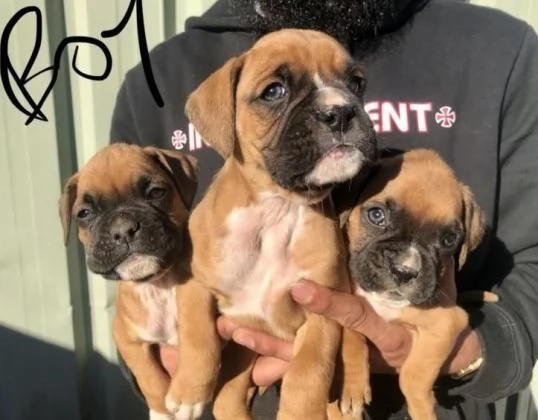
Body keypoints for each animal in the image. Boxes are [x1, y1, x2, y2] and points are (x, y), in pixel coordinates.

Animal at [58, 144, 218, 420]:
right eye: (85, 214)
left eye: (156, 192)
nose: (123, 229)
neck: (157, 285)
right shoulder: (125, 336)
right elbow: (147, 373)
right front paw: (161, 410)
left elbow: (197, 334)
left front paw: (189, 394)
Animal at [184, 29, 376, 420]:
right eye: (274, 91)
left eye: (356, 83)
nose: (340, 111)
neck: (276, 209)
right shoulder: (196, 279)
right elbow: (197, 332)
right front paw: (187, 393)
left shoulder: (320, 312)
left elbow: (308, 373)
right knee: (228, 399)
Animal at [340, 148, 486, 420]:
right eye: (377, 215)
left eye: (449, 239)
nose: (404, 271)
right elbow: (351, 333)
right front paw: (352, 384)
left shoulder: (447, 324)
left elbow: (413, 376)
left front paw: (422, 409)